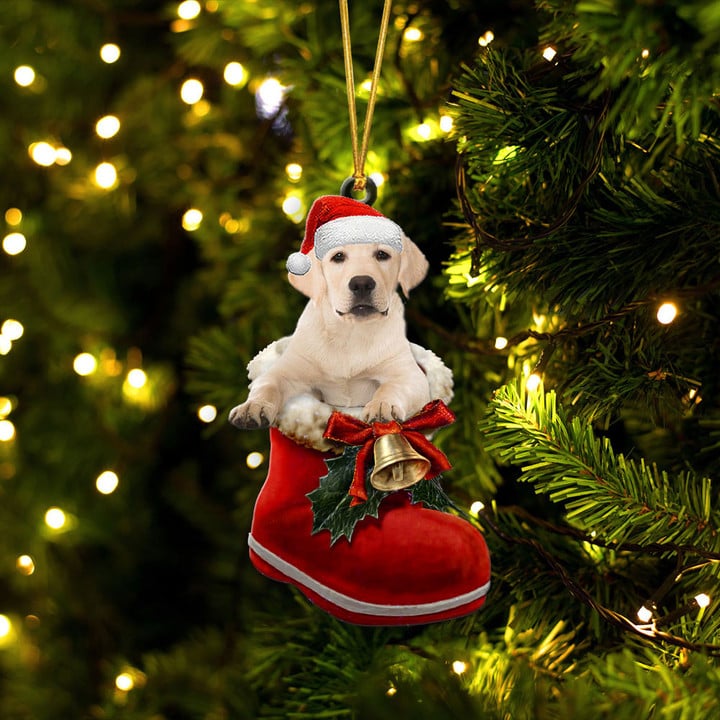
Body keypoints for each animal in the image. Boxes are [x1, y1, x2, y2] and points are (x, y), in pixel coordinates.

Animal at [231, 231, 430, 430]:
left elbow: (390, 387)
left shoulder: (410, 375)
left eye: (382, 254)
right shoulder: (285, 371)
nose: (362, 283)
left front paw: (382, 405)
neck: (351, 332)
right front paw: (253, 407)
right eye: (338, 256)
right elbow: (267, 385)